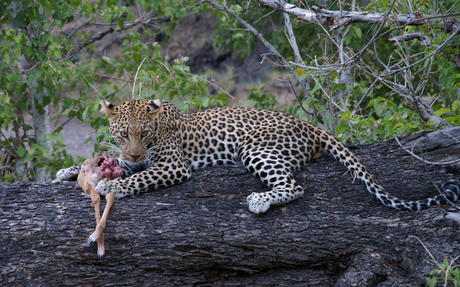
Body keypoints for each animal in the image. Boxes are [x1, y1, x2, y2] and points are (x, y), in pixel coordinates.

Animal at [57, 99, 460, 214]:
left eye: (145, 133)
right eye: (124, 134)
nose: (135, 151)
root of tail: (309, 125)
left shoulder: (173, 166)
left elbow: (140, 176)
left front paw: (112, 186)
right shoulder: (129, 158)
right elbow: (114, 165)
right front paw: (68, 170)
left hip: (256, 147)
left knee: (294, 186)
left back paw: (260, 200)